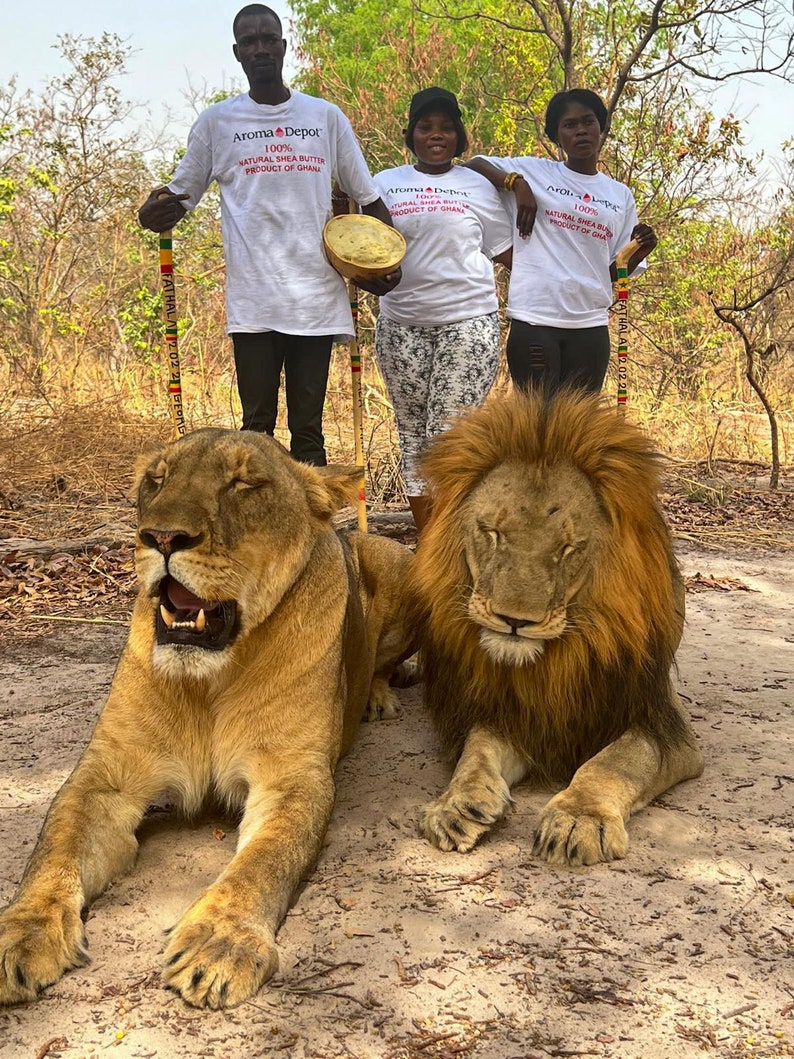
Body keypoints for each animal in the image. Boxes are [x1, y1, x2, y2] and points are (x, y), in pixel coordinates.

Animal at [0, 427, 417, 1008]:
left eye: (244, 483)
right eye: (157, 478)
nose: (162, 537)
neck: (210, 681)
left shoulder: (293, 778)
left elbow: (262, 863)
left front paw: (221, 942)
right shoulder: (105, 776)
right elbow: (53, 850)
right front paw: (21, 929)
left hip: (399, 563)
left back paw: (378, 698)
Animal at [412, 393, 707, 864]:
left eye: (568, 548)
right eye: (492, 533)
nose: (515, 621)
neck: (554, 660)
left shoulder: (662, 722)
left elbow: (613, 763)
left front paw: (578, 817)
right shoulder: (509, 711)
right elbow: (476, 751)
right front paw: (457, 804)